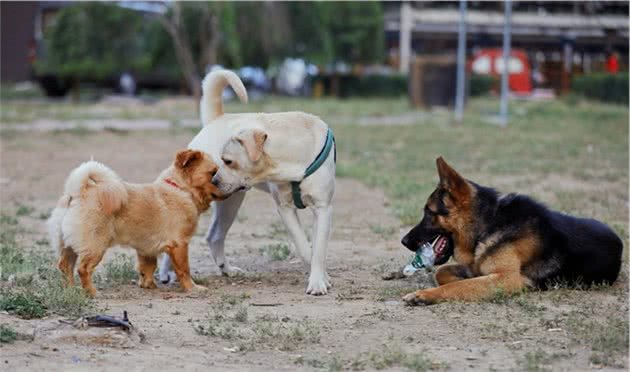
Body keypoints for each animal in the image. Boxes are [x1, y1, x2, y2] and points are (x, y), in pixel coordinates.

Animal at [46, 148, 222, 296]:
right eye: (213, 174)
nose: (222, 181)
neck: (179, 189)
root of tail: (77, 192)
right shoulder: (180, 245)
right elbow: (184, 270)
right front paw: (192, 288)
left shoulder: (147, 249)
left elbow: (148, 267)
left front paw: (148, 284)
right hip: (95, 246)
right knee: (83, 269)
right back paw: (92, 292)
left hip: (68, 245)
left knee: (65, 266)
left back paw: (70, 291)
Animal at [159, 70, 336, 294]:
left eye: (228, 161)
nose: (214, 179)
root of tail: (216, 119)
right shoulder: (285, 208)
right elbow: (304, 247)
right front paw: (319, 277)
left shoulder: (323, 208)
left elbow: (318, 248)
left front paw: (318, 281)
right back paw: (167, 273)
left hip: (231, 203)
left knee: (214, 236)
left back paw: (226, 270)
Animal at [402, 157, 624, 306]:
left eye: (428, 212)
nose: (403, 241)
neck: (489, 224)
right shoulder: (479, 267)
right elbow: (444, 273)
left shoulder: (508, 279)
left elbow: (456, 286)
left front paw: (425, 294)